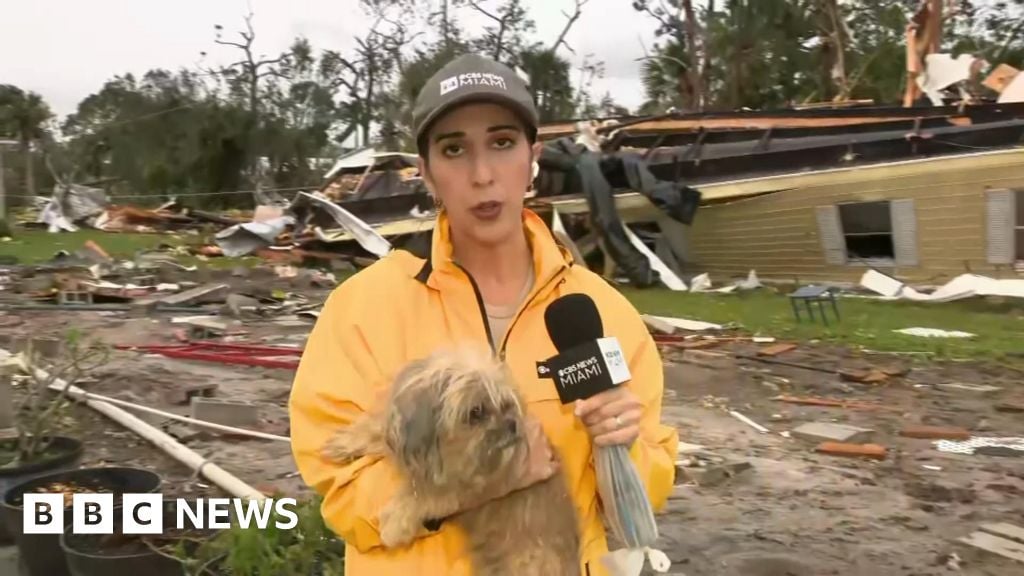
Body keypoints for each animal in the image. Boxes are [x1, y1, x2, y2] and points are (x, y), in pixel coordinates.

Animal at [323, 342, 581, 569]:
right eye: (476, 412)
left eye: (507, 405)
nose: (512, 424)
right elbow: (377, 429)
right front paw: (345, 442)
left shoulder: (469, 480)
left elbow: (424, 492)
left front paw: (395, 522)